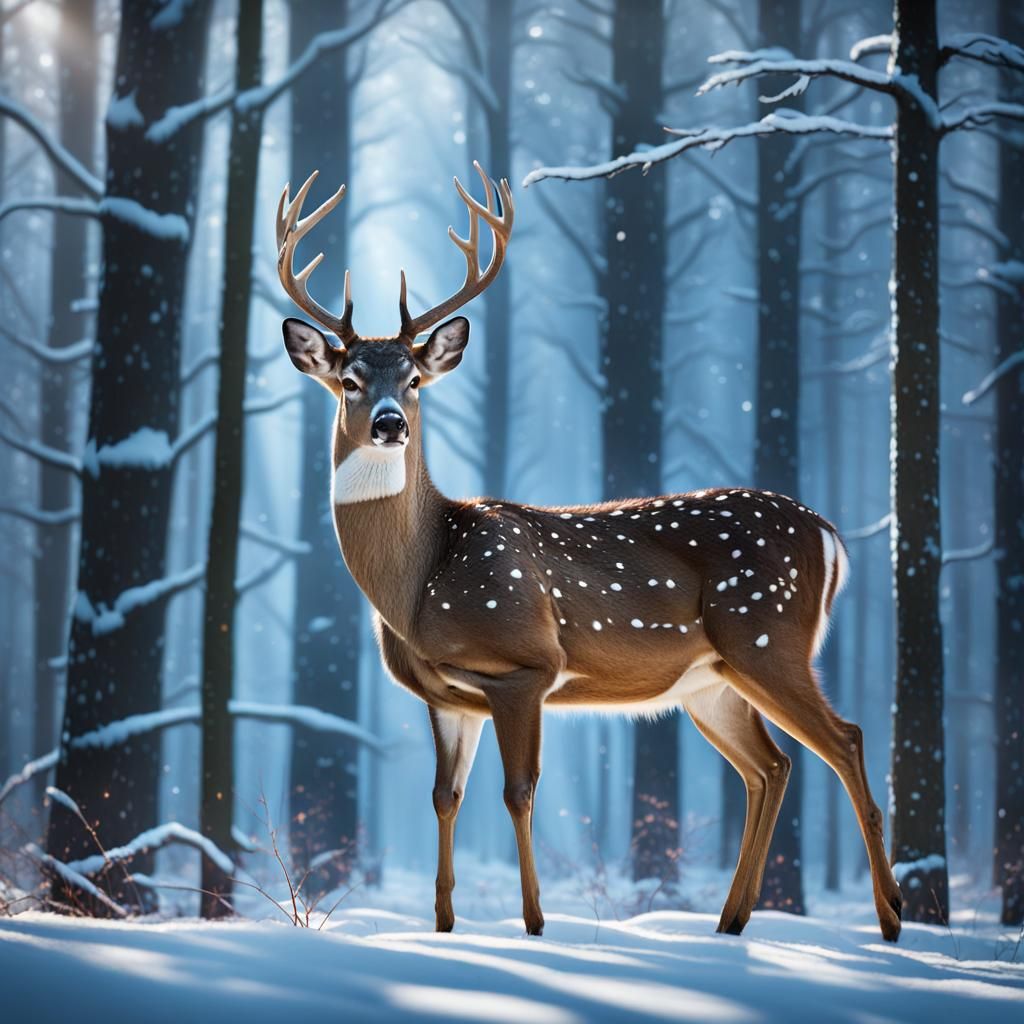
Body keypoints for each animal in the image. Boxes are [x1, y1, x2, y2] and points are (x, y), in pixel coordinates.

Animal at [275, 162, 903, 943]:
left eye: (415, 380)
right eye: (349, 380)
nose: (391, 424)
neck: (420, 583)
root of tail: (830, 535)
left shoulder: (526, 666)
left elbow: (518, 793)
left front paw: (536, 921)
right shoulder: (446, 696)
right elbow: (445, 797)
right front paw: (443, 926)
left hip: (767, 635)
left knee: (844, 738)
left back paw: (890, 918)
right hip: (711, 679)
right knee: (770, 766)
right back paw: (730, 922)